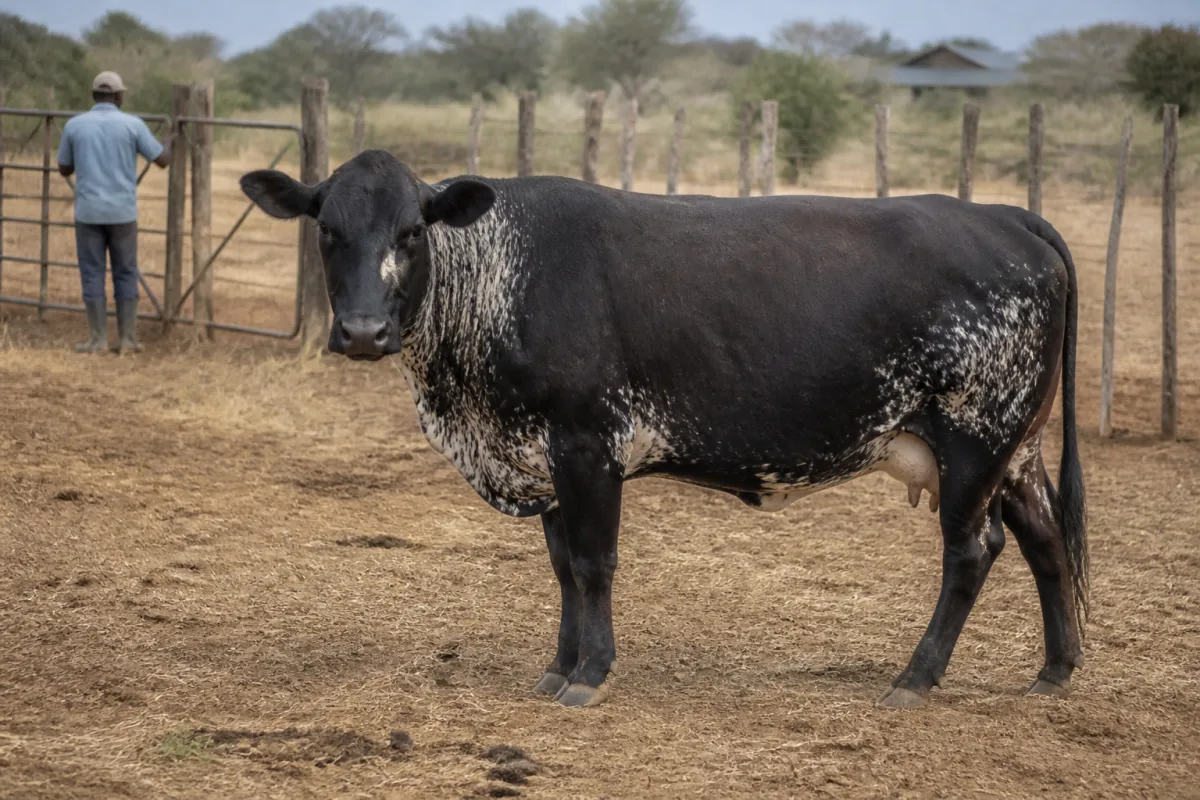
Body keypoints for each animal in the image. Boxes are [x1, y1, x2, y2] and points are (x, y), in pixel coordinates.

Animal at [240, 149, 1087, 709]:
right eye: (327, 231)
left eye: (412, 232)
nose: (362, 331)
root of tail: (1002, 215)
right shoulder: (543, 461)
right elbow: (562, 568)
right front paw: (557, 667)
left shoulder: (588, 447)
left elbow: (593, 564)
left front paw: (589, 675)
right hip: (1016, 449)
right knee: (1045, 537)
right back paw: (1055, 671)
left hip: (976, 442)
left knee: (972, 552)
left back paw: (915, 679)